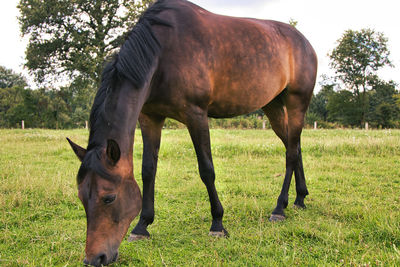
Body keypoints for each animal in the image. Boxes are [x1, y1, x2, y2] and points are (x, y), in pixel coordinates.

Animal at [66, 0, 316, 266]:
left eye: (109, 197)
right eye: (81, 197)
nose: (95, 258)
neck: (162, 53)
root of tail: (304, 42)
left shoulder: (196, 115)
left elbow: (207, 170)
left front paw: (217, 224)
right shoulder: (150, 118)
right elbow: (148, 171)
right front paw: (142, 226)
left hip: (297, 102)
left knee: (291, 152)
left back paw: (280, 208)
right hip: (273, 105)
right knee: (294, 146)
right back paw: (300, 198)